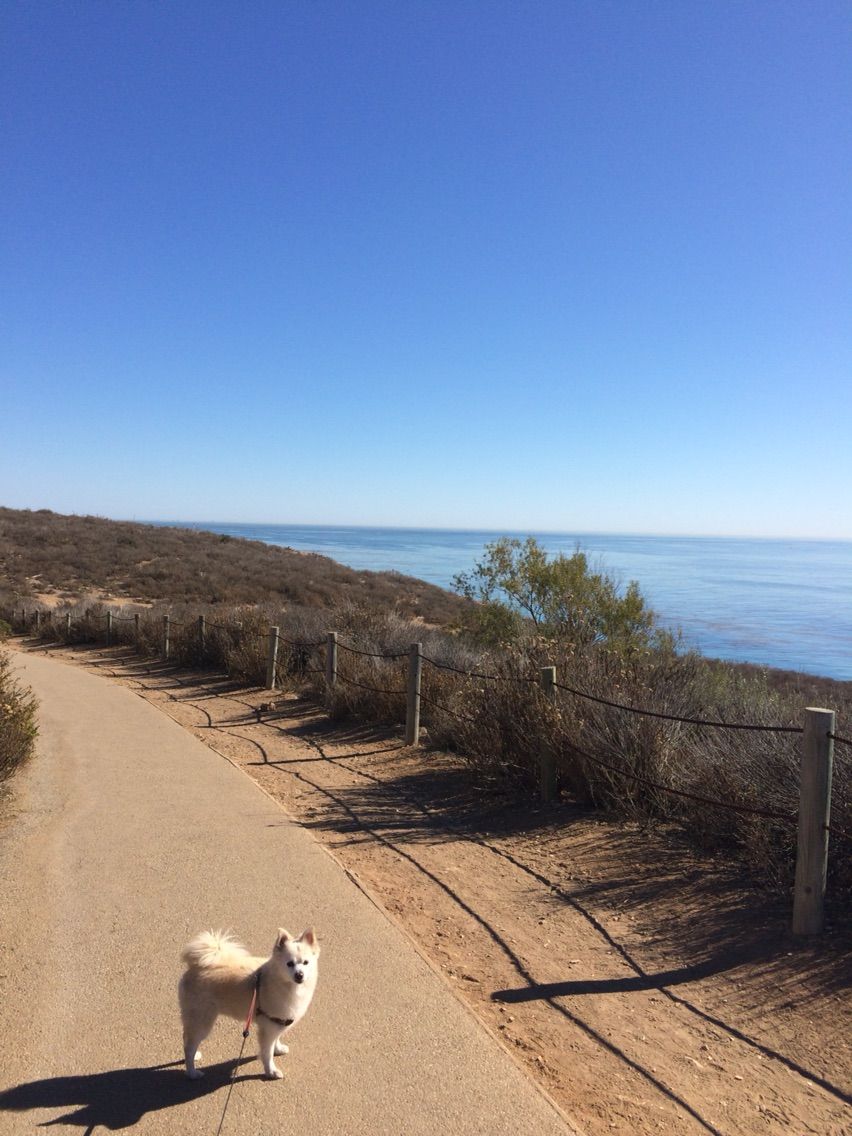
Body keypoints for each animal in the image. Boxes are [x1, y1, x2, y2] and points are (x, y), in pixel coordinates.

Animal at [178, 927, 320, 1080]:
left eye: (306, 962)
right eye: (289, 964)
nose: (299, 975)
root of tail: (195, 967)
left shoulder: (278, 1021)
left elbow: (277, 1039)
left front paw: (279, 1048)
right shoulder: (268, 1028)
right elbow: (267, 1054)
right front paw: (271, 1071)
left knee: (186, 1039)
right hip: (202, 1021)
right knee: (189, 1046)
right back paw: (192, 1072)